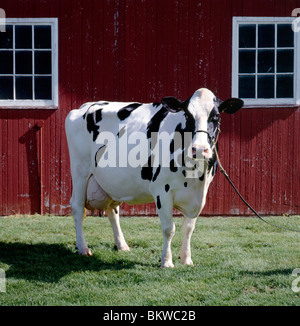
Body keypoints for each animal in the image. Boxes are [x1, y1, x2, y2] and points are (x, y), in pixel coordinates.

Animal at [64, 87, 243, 268]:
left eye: (216, 116)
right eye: (187, 115)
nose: (199, 149)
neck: (196, 178)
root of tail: (86, 105)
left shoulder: (199, 195)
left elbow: (188, 228)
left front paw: (186, 259)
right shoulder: (161, 190)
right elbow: (169, 229)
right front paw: (166, 261)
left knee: (113, 211)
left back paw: (122, 245)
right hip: (80, 171)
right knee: (77, 207)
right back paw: (83, 248)